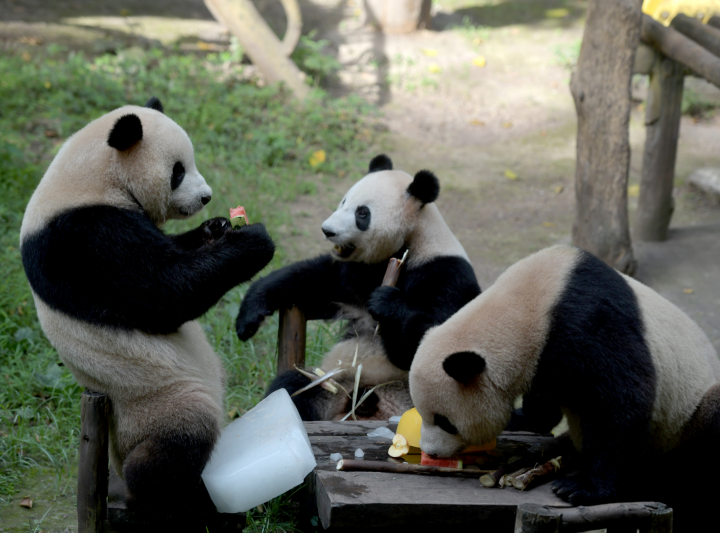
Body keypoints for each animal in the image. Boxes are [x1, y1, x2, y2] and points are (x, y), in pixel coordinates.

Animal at [20, 97, 276, 512]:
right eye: (178, 171)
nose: (205, 197)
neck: (92, 177)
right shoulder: (84, 238)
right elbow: (164, 291)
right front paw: (252, 241)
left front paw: (218, 228)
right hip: (156, 400)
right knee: (174, 446)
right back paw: (169, 496)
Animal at [236, 154, 480, 420]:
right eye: (343, 201)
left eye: (362, 213)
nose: (327, 230)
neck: (411, 242)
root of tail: (360, 406)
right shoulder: (355, 273)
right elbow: (310, 279)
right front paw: (250, 315)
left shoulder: (445, 274)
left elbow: (431, 346)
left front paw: (386, 303)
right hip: (329, 384)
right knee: (295, 389)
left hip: (401, 395)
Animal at [410, 243, 720, 504]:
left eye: (445, 421)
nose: (431, 452)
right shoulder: (545, 360)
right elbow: (546, 399)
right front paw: (522, 418)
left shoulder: (588, 323)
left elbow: (621, 402)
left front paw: (584, 488)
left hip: (685, 419)